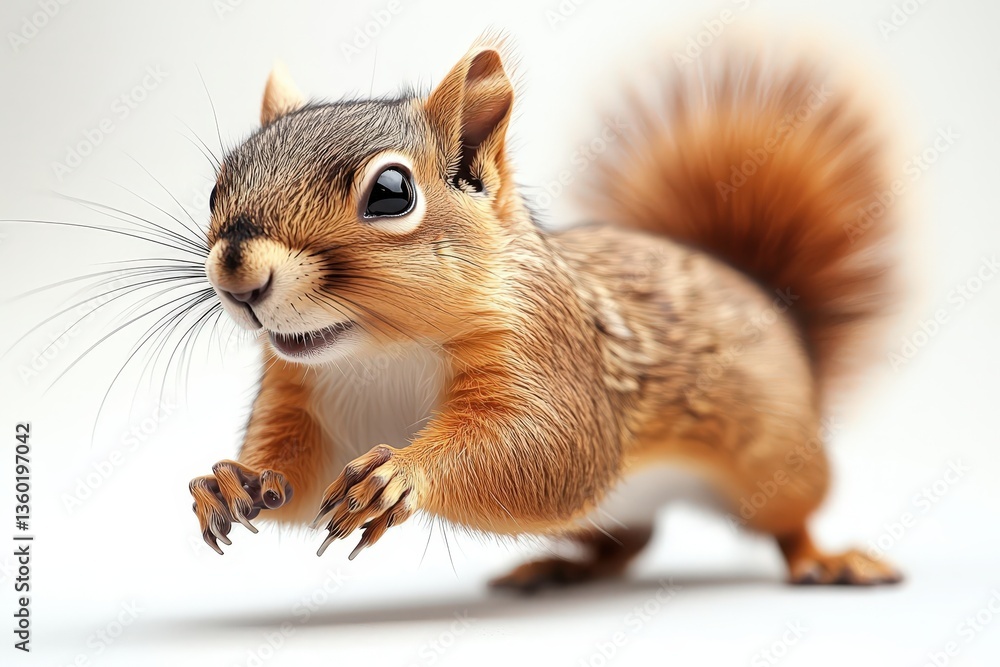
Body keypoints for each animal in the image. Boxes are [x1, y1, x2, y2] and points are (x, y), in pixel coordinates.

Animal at [189, 36, 902, 589]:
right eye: (216, 188)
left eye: (392, 192)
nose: (237, 274)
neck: (378, 352)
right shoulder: (299, 394)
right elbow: (295, 481)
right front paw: (232, 480)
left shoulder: (550, 355)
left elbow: (549, 452)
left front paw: (400, 473)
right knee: (630, 542)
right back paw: (561, 568)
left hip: (777, 465)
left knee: (787, 524)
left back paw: (825, 560)